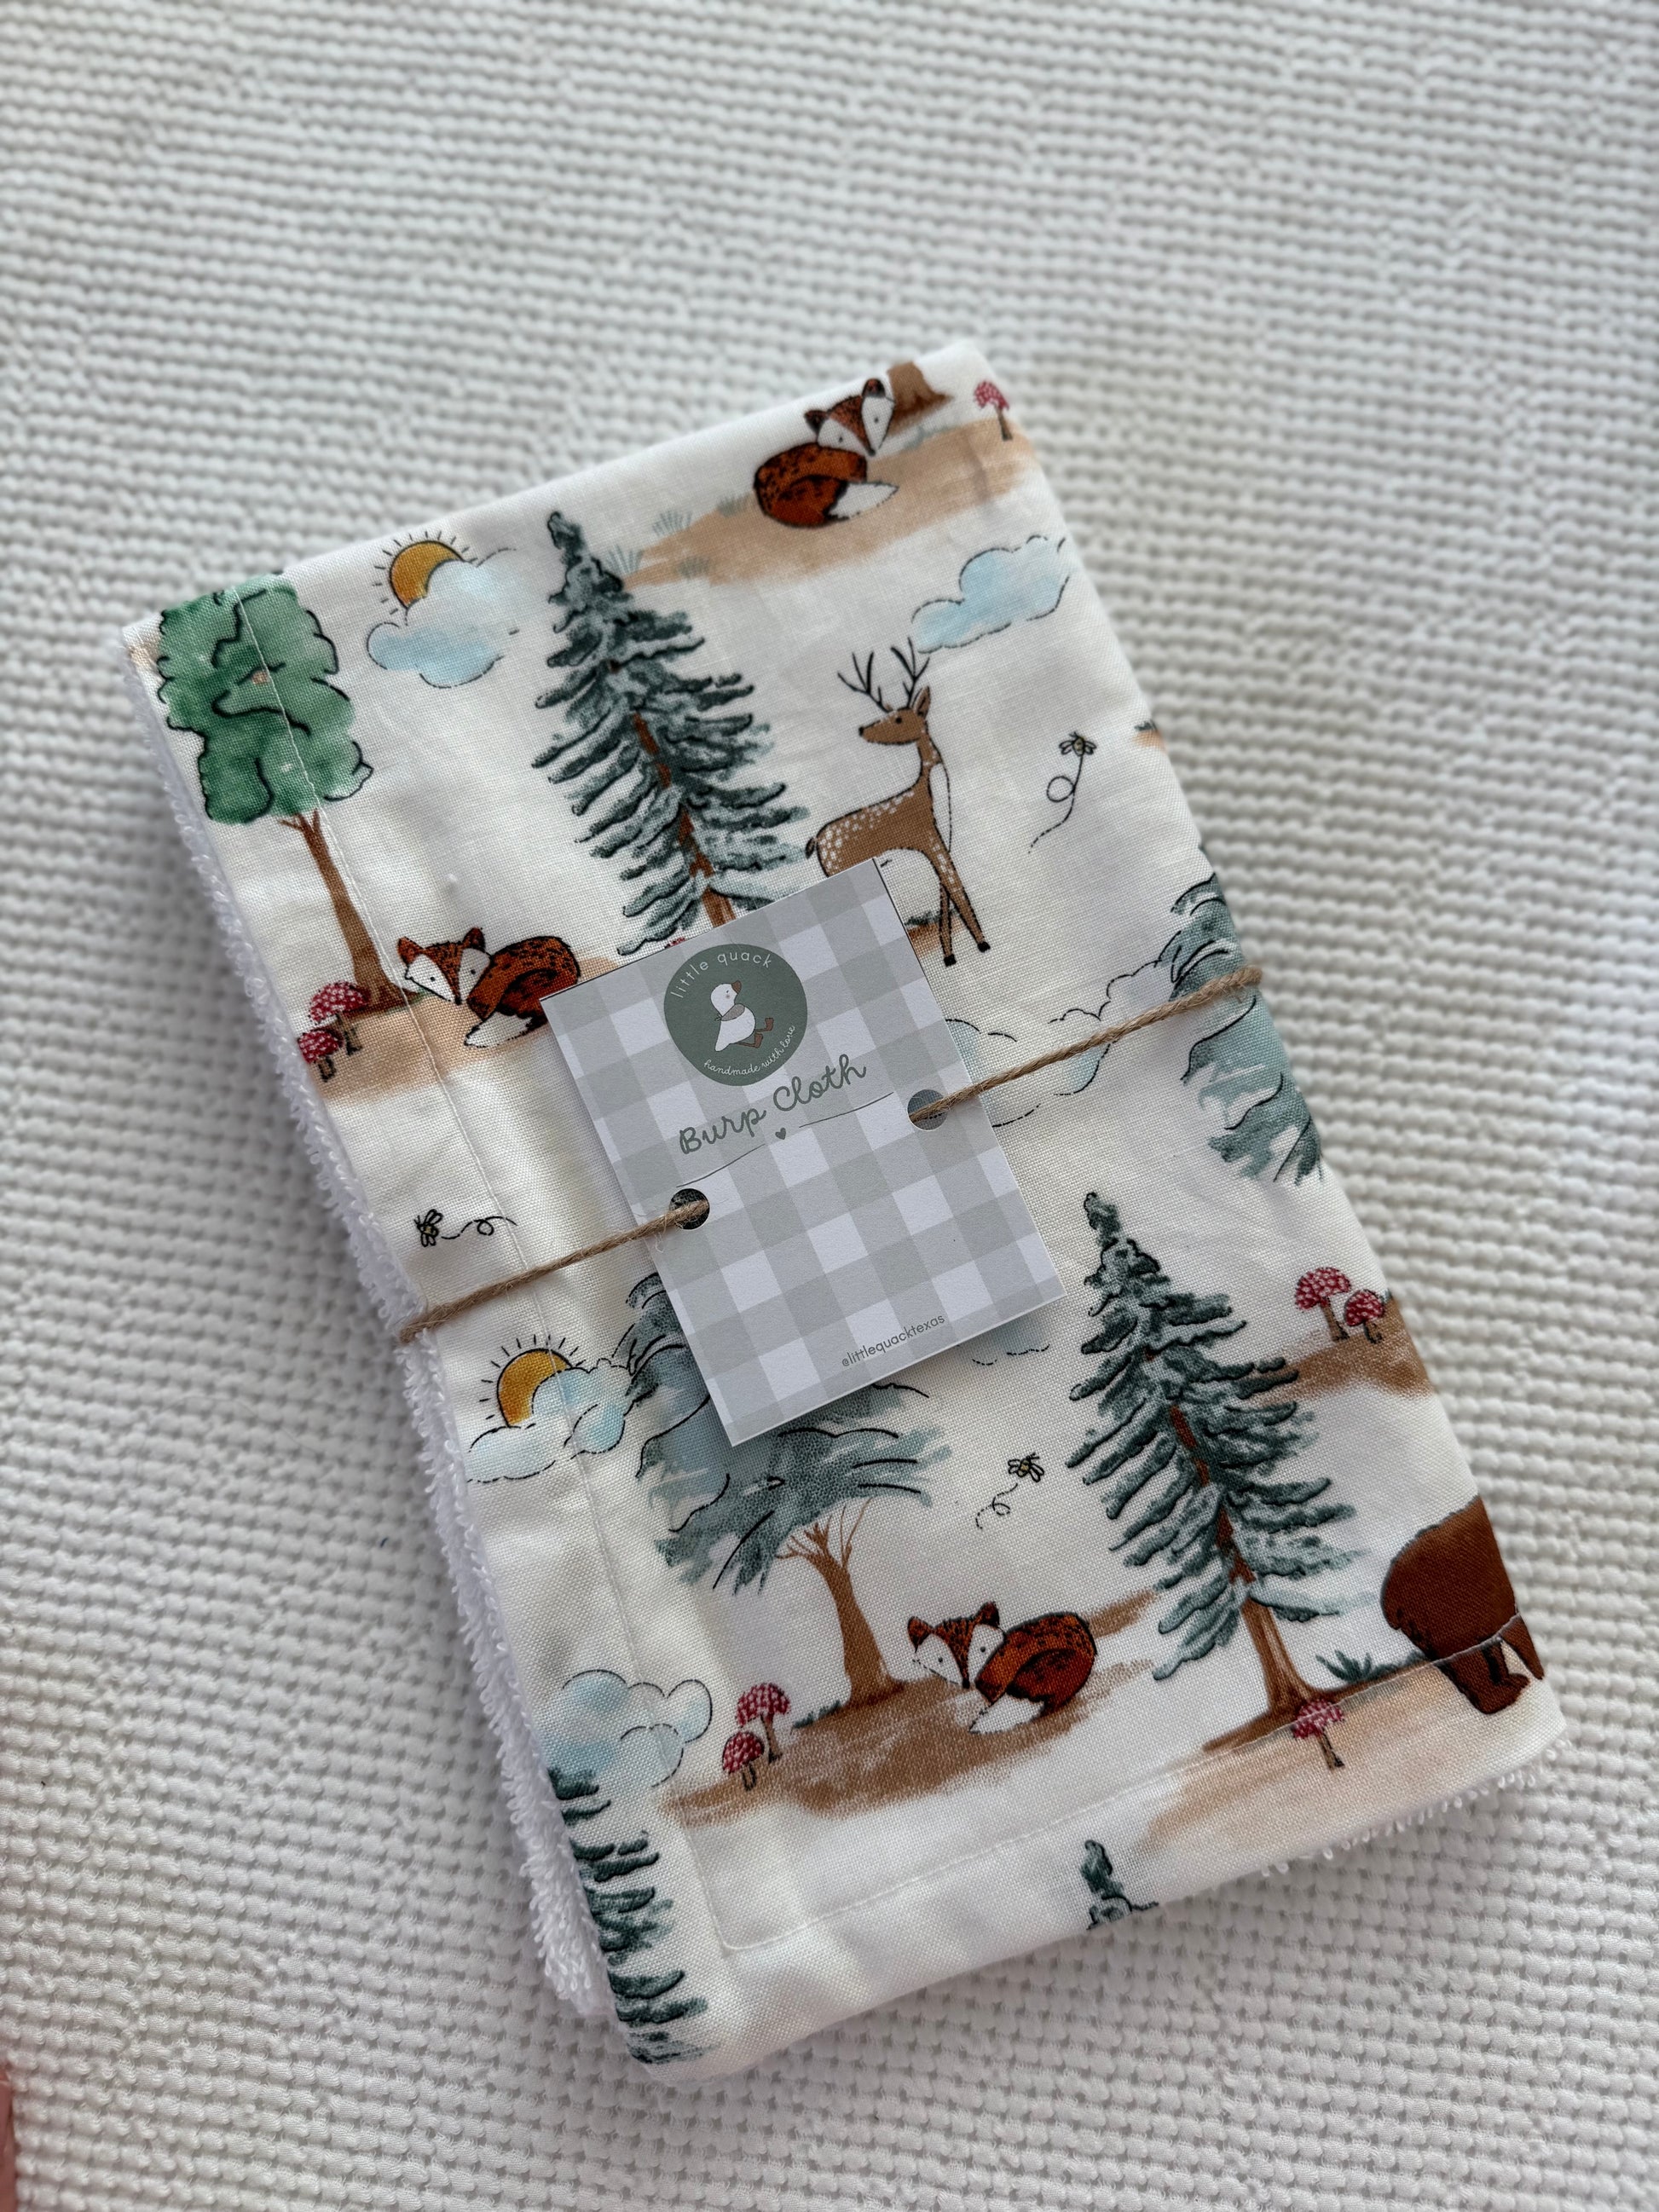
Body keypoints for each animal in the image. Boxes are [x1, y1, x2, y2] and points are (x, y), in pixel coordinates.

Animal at [806, 642, 991, 965]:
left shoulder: (941, 838)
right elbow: (954, 887)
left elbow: (945, 893)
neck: (934, 795)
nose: (862, 730)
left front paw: (950, 956)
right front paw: (982, 944)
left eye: (898, 718)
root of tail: (816, 840)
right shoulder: (928, 836)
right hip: (837, 866)